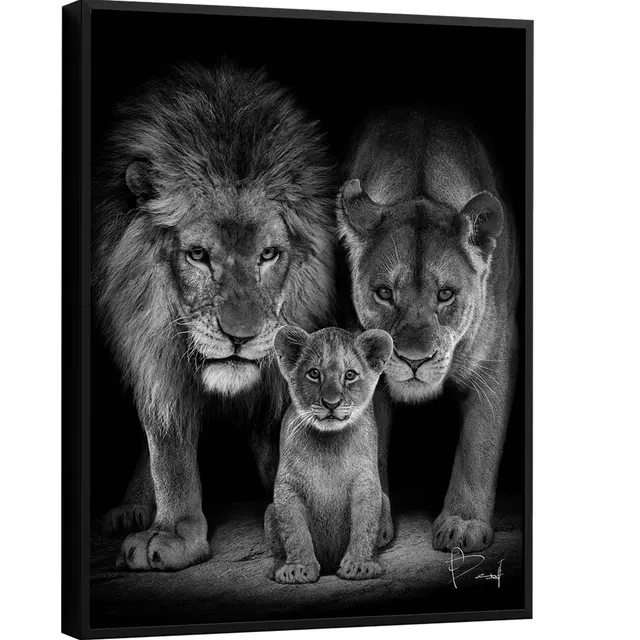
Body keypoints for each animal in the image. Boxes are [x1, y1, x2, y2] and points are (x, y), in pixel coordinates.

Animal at [93, 62, 336, 571]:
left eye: (269, 255)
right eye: (199, 255)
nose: (239, 337)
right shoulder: (154, 348)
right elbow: (168, 447)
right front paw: (173, 533)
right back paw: (132, 509)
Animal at [265, 326, 393, 583]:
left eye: (350, 375)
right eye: (314, 373)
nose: (331, 403)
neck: (329, 442)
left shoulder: (365, 482)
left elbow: (365, 525)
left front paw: (359, 565)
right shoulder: (287, 486)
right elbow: (294, 532)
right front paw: (298, 569)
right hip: (268, 511)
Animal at [337, 108, 519, 553]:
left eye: (446, 294)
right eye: (384, 293)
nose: (414, 360)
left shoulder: (495, 361)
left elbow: (479, 445)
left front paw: (463, 525)